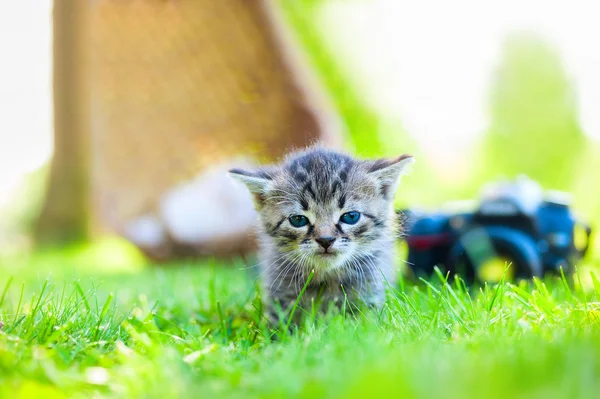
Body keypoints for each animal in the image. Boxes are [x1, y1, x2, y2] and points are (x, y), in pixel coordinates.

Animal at [227, 147, 414, 322]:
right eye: (298, 220)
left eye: (351, 216)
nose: (326, 240)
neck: (326, 279)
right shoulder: (279, 295)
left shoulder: (370, 291)